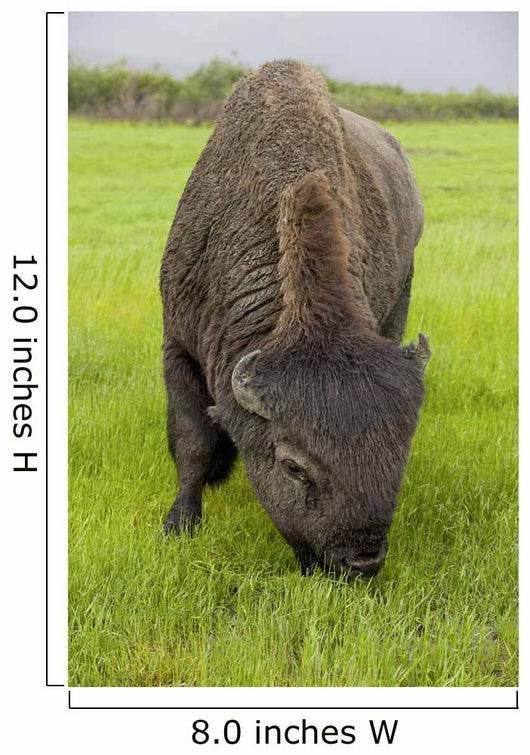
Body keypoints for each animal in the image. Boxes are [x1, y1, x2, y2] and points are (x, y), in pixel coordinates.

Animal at [160, 59, 430, 579]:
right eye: (293, 466)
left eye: (399, 457)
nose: (361, 560)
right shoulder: (177, 345)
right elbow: (192, 441)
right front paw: (179, 524)